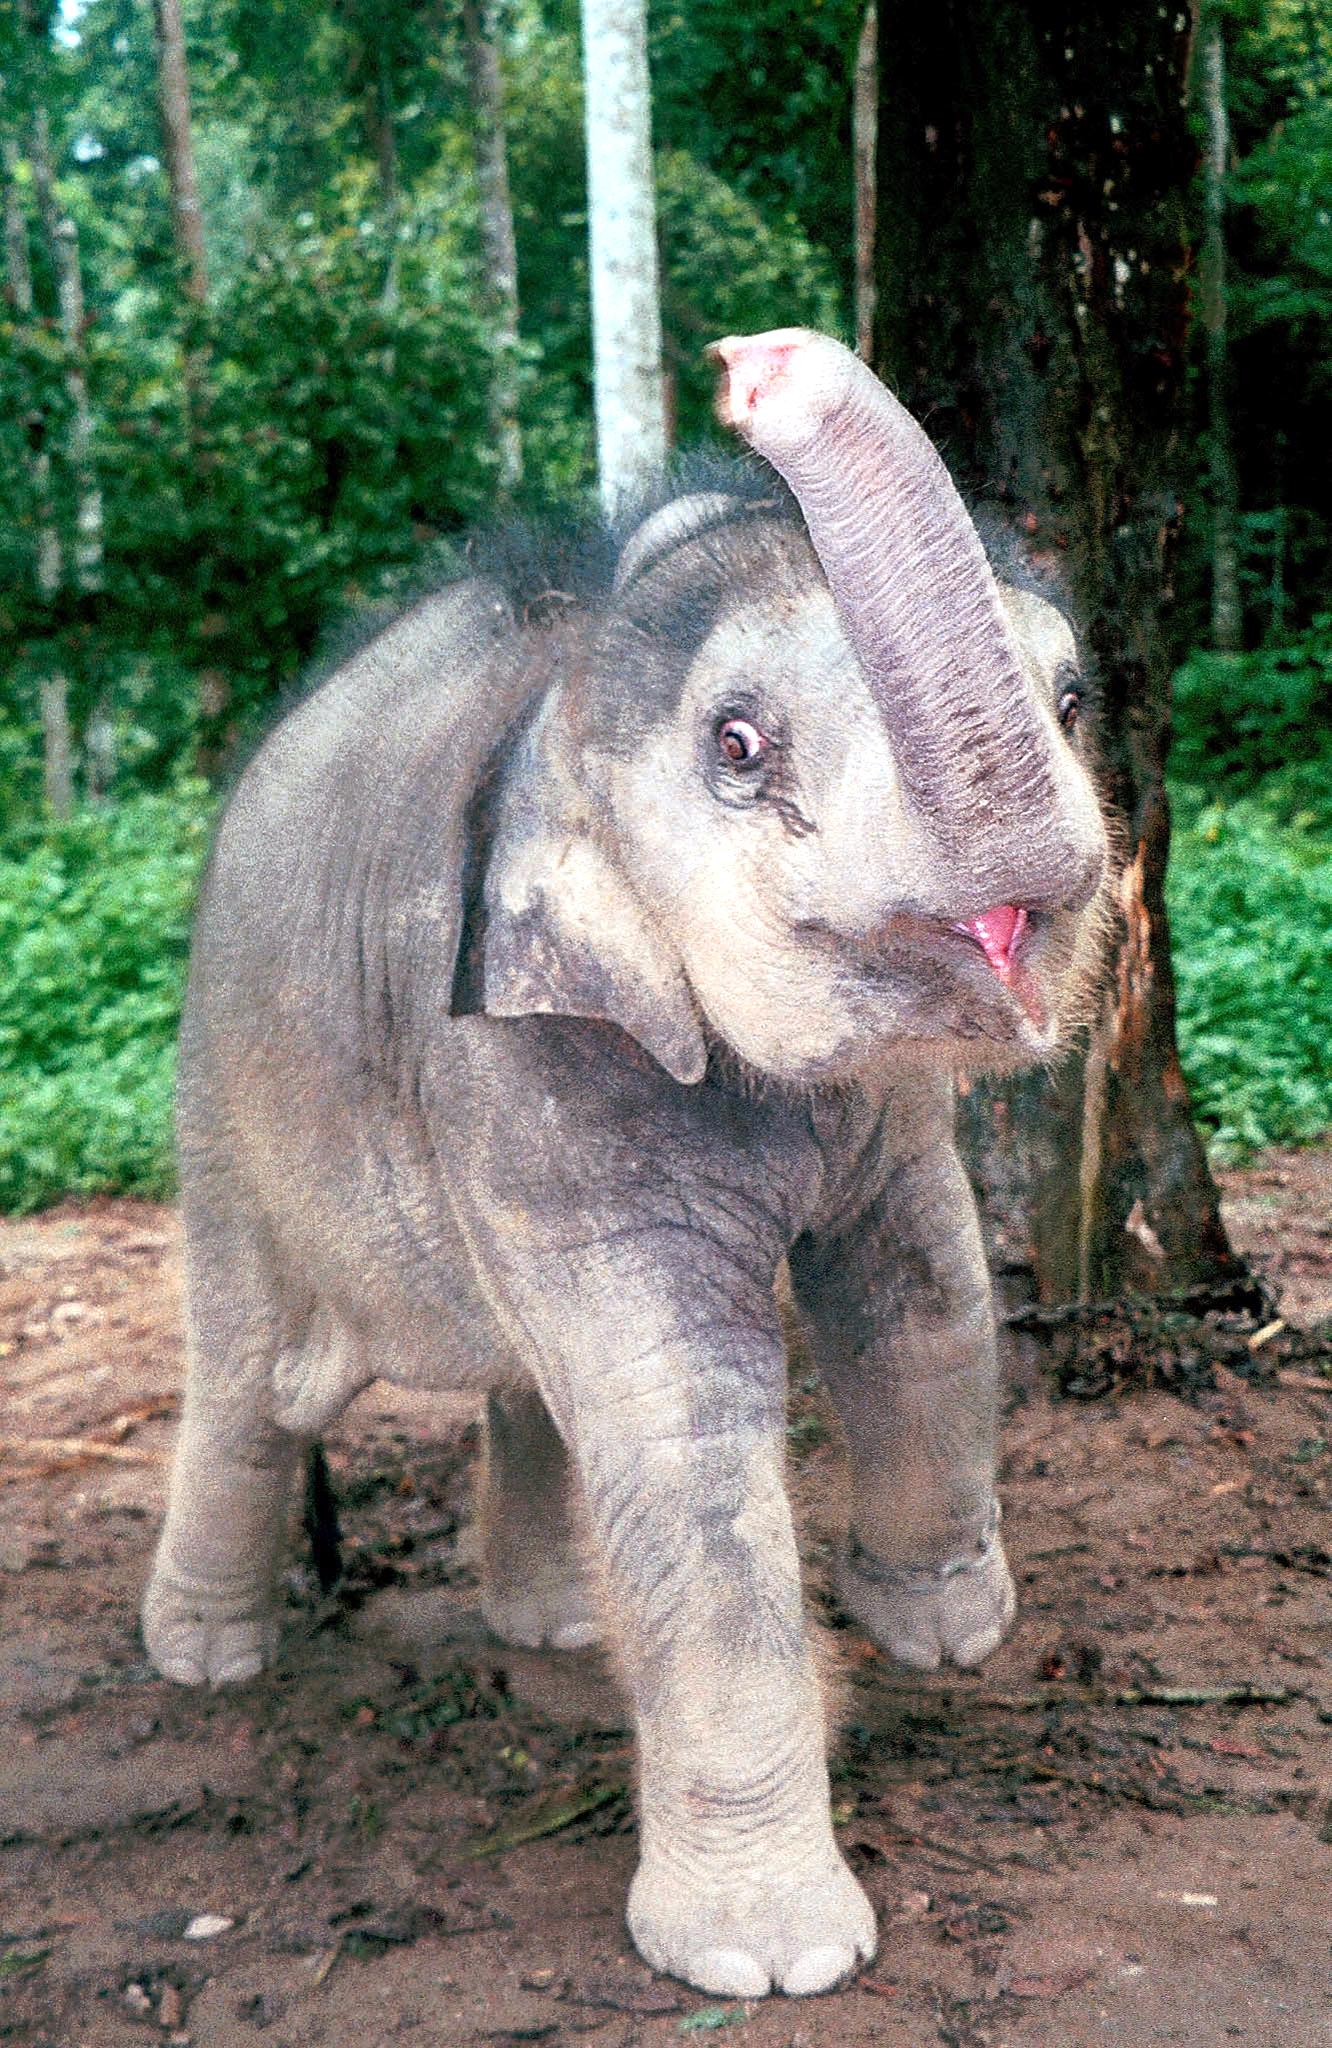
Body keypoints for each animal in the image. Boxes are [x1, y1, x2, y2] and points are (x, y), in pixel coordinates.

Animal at [143, 328, 1111, 1999]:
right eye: (737, 748)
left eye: (1072, 696)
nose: (757, 362)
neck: (574, 674)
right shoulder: (504, 1039)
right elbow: (680, 1411)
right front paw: (769, 1962)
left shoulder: (883, 1111)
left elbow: (925, 1287)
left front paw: (943, 1633)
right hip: (224, 1093)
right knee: (256, 1384)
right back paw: (206, 1662)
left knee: (526, 1379)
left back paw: (550, 1635)